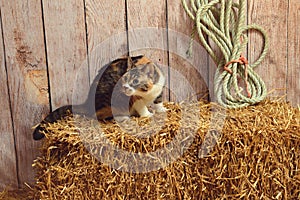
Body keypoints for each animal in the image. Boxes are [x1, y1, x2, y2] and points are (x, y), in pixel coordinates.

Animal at [32, 54, 166, 139]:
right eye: (124, 79)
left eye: (135, 81)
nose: (124, 87)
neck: (147, 93)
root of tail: (87, 102)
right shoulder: (133, 98)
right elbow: (141, 106)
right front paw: (147, 114)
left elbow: (158, 100)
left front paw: (162, 109)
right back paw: (124, 117)